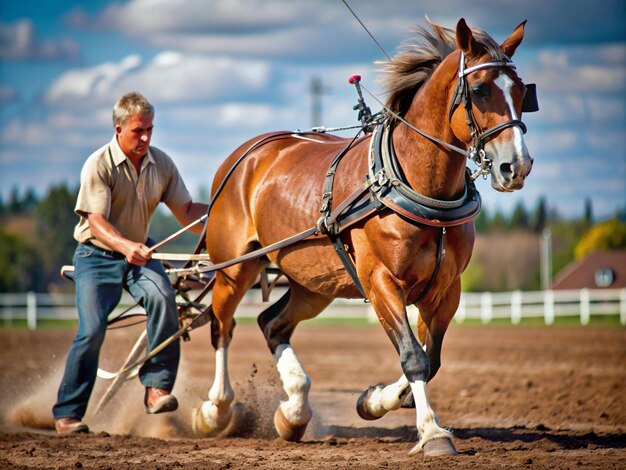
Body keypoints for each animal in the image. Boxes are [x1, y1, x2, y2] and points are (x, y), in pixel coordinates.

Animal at [191, 18, 532, 456]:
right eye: (479, 90)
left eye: (522, 90)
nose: (517, 166)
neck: (419, 188)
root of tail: (248, 153)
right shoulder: (380, 280)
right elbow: (414, 357)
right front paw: (432, 432)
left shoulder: (446, 289)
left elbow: (430, 359)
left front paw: (373, 400)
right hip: (235, 267)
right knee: (222, 326)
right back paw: (215, 409)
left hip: (314, 282)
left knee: (272, 323)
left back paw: (294, 410)